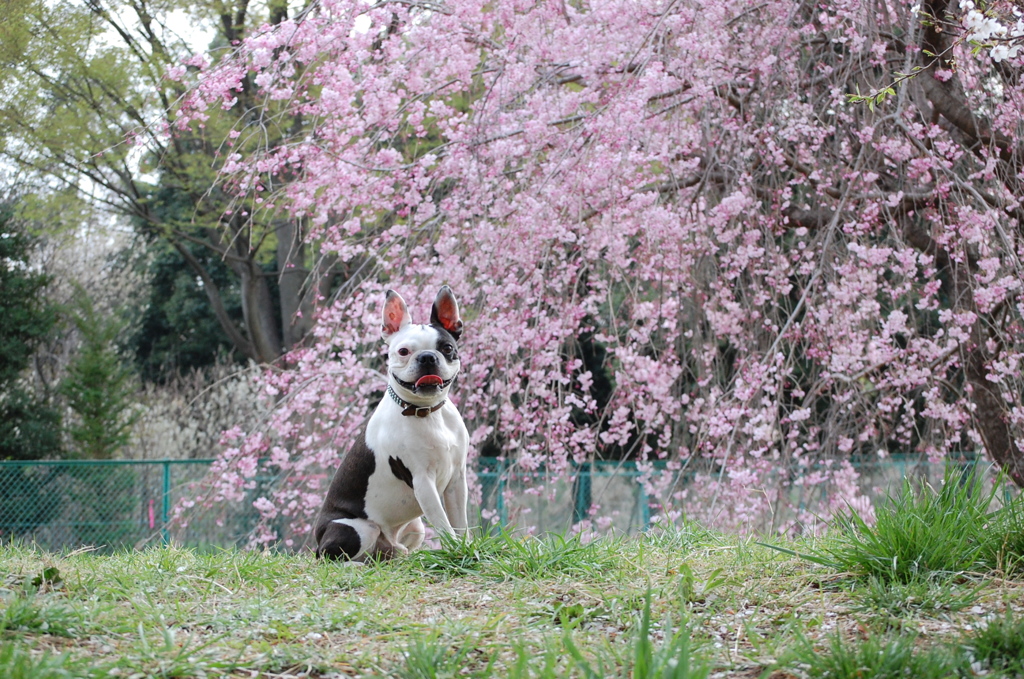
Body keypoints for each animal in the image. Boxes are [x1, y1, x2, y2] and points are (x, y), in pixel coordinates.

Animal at [313, 284, 468, 561]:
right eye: (403, 351)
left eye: (447, 348)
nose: (427, 357)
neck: (427, 411)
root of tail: (318, 537)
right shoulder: (423, 482)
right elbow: (443, 523)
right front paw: (455, 550)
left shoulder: (457, 480)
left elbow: (460, 523)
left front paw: (469, 547)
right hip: (359, 529)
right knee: (330, 558)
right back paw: (356, 565)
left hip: (415, 529)